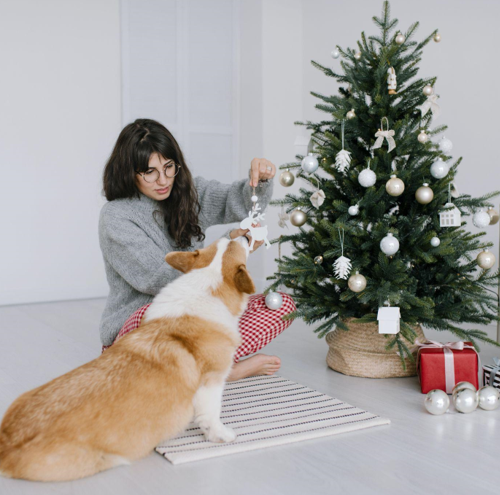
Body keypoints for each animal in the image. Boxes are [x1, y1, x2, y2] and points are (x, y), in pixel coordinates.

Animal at [0, 238, 252, 482]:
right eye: (236, 242)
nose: (244, 234)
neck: (205, 283)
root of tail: (5, 444)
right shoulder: (212, 381)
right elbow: (212, 415)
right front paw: (222, 435)